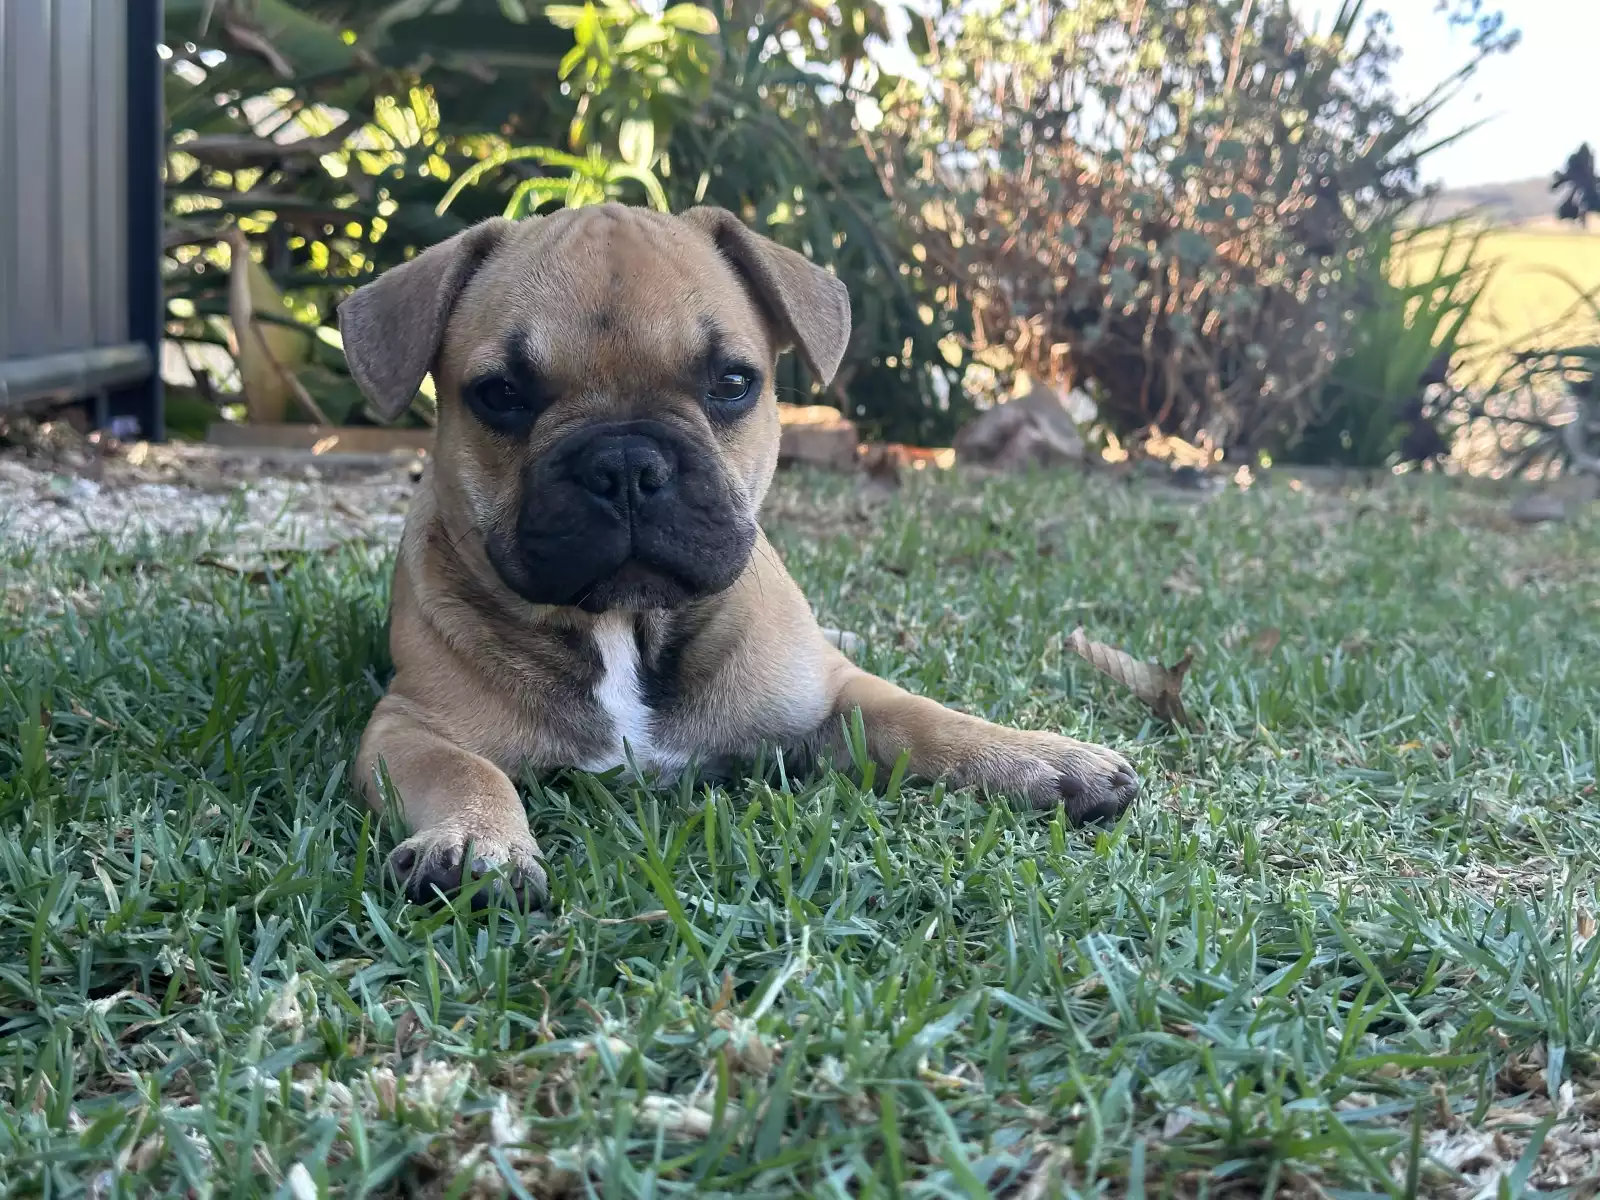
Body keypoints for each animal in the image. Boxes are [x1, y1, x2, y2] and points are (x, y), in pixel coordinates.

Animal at [338, 203, 1139, 904]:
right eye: (501, 394)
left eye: (731, 383)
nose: (625, 463)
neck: (625, 628)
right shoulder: (408, 728)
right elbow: (465, 772)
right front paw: (477, 844)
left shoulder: (831, 698)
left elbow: (926, 718)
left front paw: (1038, 757)